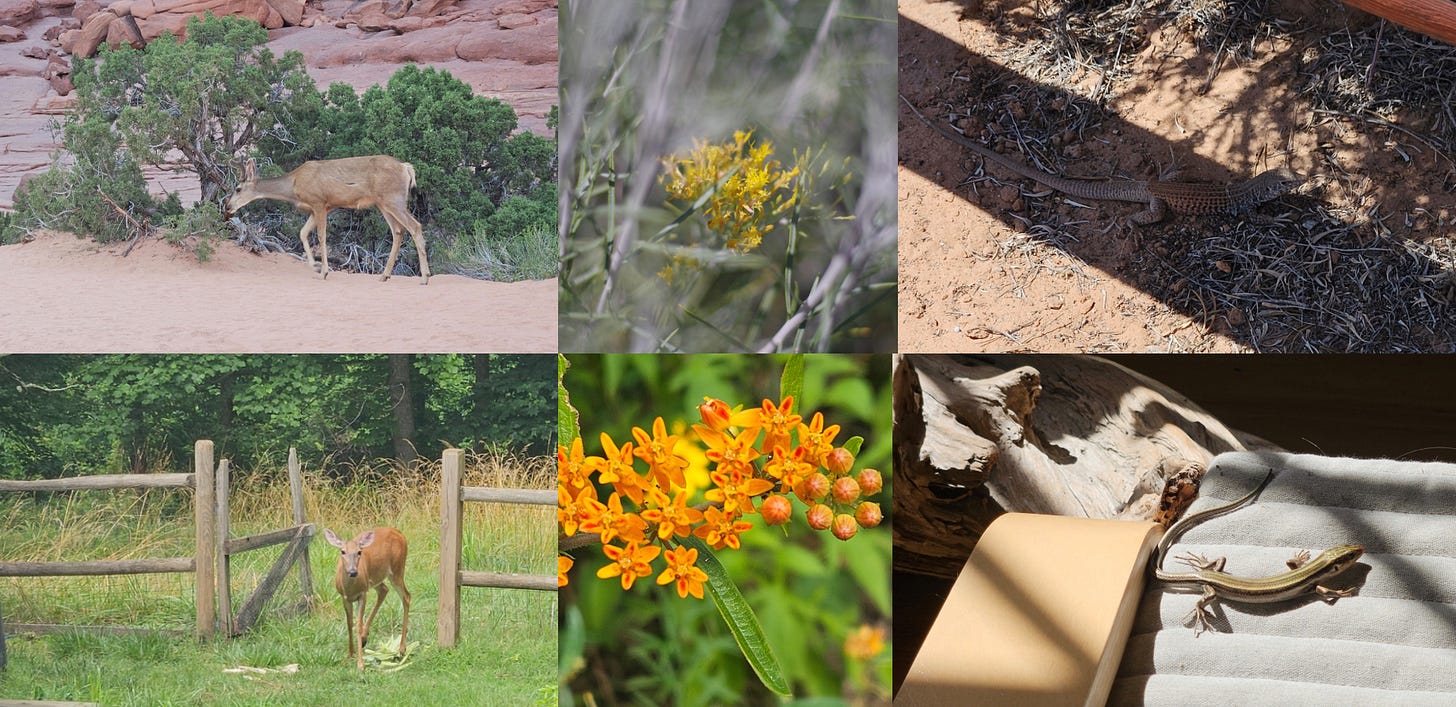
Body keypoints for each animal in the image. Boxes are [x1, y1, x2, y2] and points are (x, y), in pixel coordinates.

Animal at [225, 156, 432, 284]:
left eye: (238, 189)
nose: (227, 208)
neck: (293, 186)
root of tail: (406, 168)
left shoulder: (319, 202)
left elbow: (321, 236)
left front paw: (324, 270)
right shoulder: (318, 208)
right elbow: (303, 233)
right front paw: (315, 267)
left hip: (393, 199)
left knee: (415, 226)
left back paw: (425, 277)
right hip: (383, 203)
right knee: (398, 231)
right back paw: (385, 275)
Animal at [323, 527, 411, 671]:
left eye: (359, 552)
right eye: (343, 551)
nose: (353, 572)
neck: (351, 589)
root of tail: (399, 532)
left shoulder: (363, 593)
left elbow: (358, 625)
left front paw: (360, 664)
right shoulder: (344, 597)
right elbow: (349, 624)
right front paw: (350, 653)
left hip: (397, 569)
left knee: (406, 596)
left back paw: (402, 648)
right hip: (376, 578)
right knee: (384, 590)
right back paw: (365, 638)